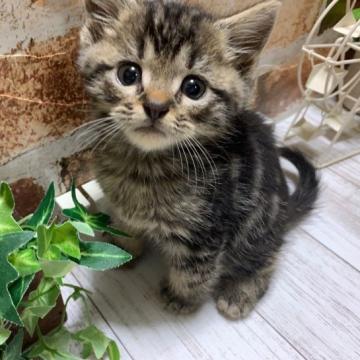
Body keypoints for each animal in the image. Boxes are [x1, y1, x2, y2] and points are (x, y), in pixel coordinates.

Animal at [79, 0, 318, 320]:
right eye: (128, 74)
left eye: (194, 87)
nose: (155, 106)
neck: (145, 165)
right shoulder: (119, 206)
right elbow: (124, 227)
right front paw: (123, 252)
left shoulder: (207, 230)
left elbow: (195, 271)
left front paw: (182, 297)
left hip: (255, 222)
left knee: (266, 255)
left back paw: (241, 290)